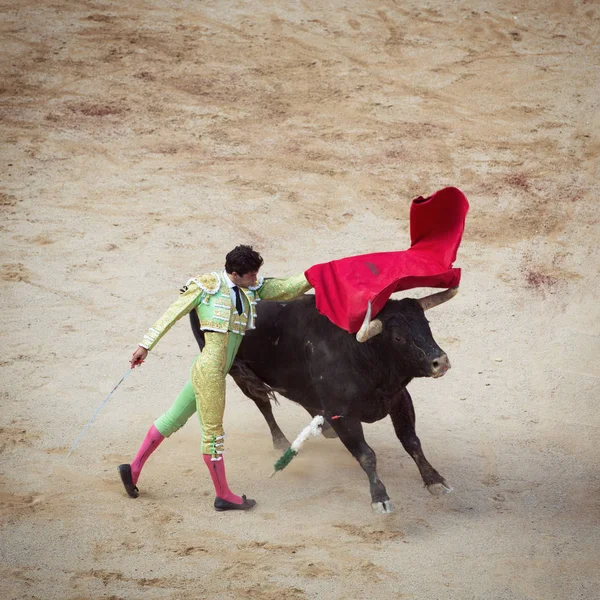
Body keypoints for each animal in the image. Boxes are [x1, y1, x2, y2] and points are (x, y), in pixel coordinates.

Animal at [190, 292, 452, 512]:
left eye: (427, 326)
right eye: (398, 337)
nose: (440, 362)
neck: (361, 352)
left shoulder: (398, 398)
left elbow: (411, 441)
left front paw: (435, 481)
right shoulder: (343, 415)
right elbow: (366, 455)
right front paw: (380, 498)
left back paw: (322, 427)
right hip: (236, 372)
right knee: (262, 403)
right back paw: (281, 442)